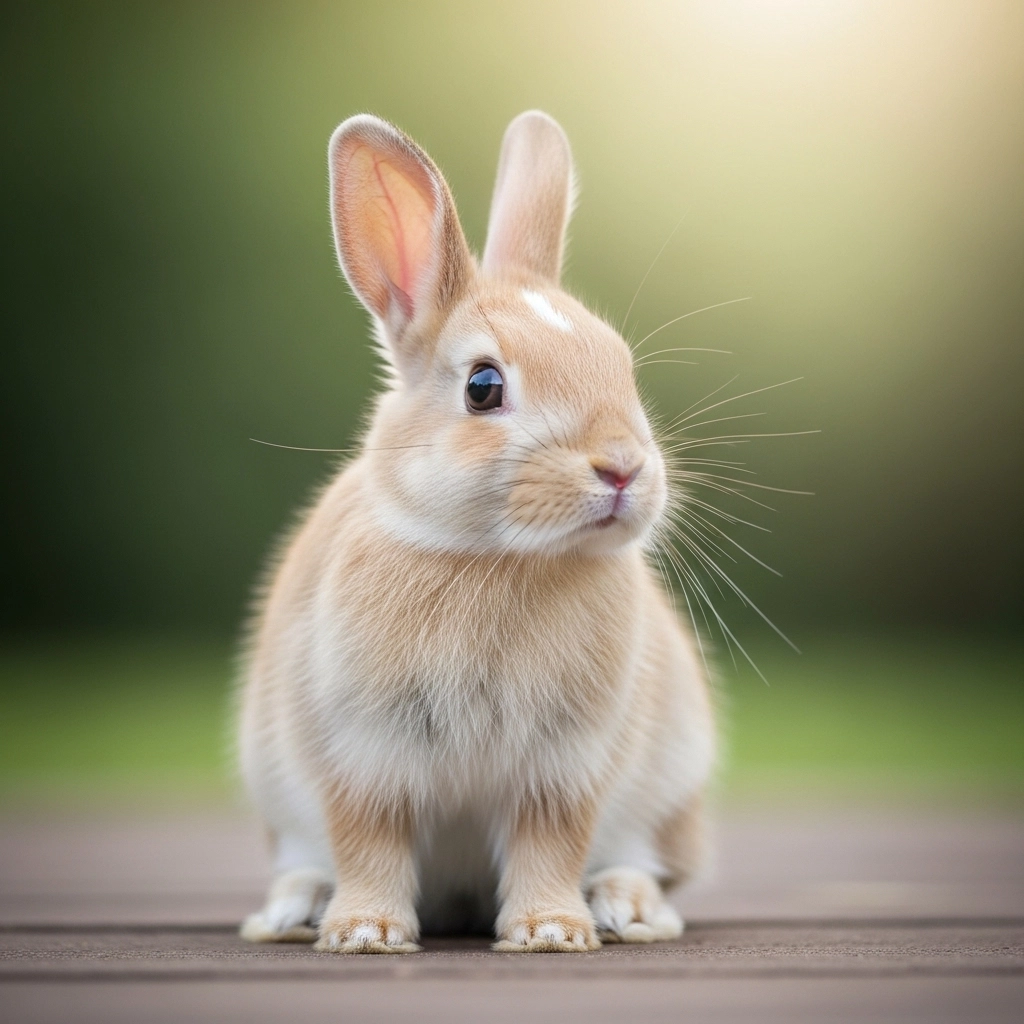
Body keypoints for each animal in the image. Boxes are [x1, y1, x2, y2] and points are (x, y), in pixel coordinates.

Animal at [237, 110, 716, 953]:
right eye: (483, 387)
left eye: (622, 368)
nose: (624, 468)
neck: (494, 557)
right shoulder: (363, 755)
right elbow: (368, 839)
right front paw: (365, 933)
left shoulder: (563, 765)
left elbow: (550, 842)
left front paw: (551, 932)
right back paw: (295, 909)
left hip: (670, 793)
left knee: (646, 861)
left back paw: (628, 909)